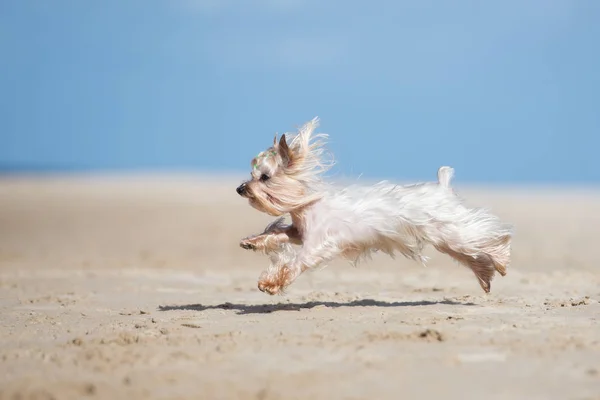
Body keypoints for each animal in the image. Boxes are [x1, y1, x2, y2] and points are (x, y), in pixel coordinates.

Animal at [234, 117, 510, 296]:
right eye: (252, 174)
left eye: (265, 177)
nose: (240, 189)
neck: (306, 206)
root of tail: (442, 187)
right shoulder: (298, 232)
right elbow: (276, 233)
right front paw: (252, 242)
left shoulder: (318, 245)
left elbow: (294, 263)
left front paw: (271, 283)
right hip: (447, 241)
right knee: (473, 256)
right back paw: (485, 278)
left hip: (452, 233)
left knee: (490, 239)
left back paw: (501, 261)